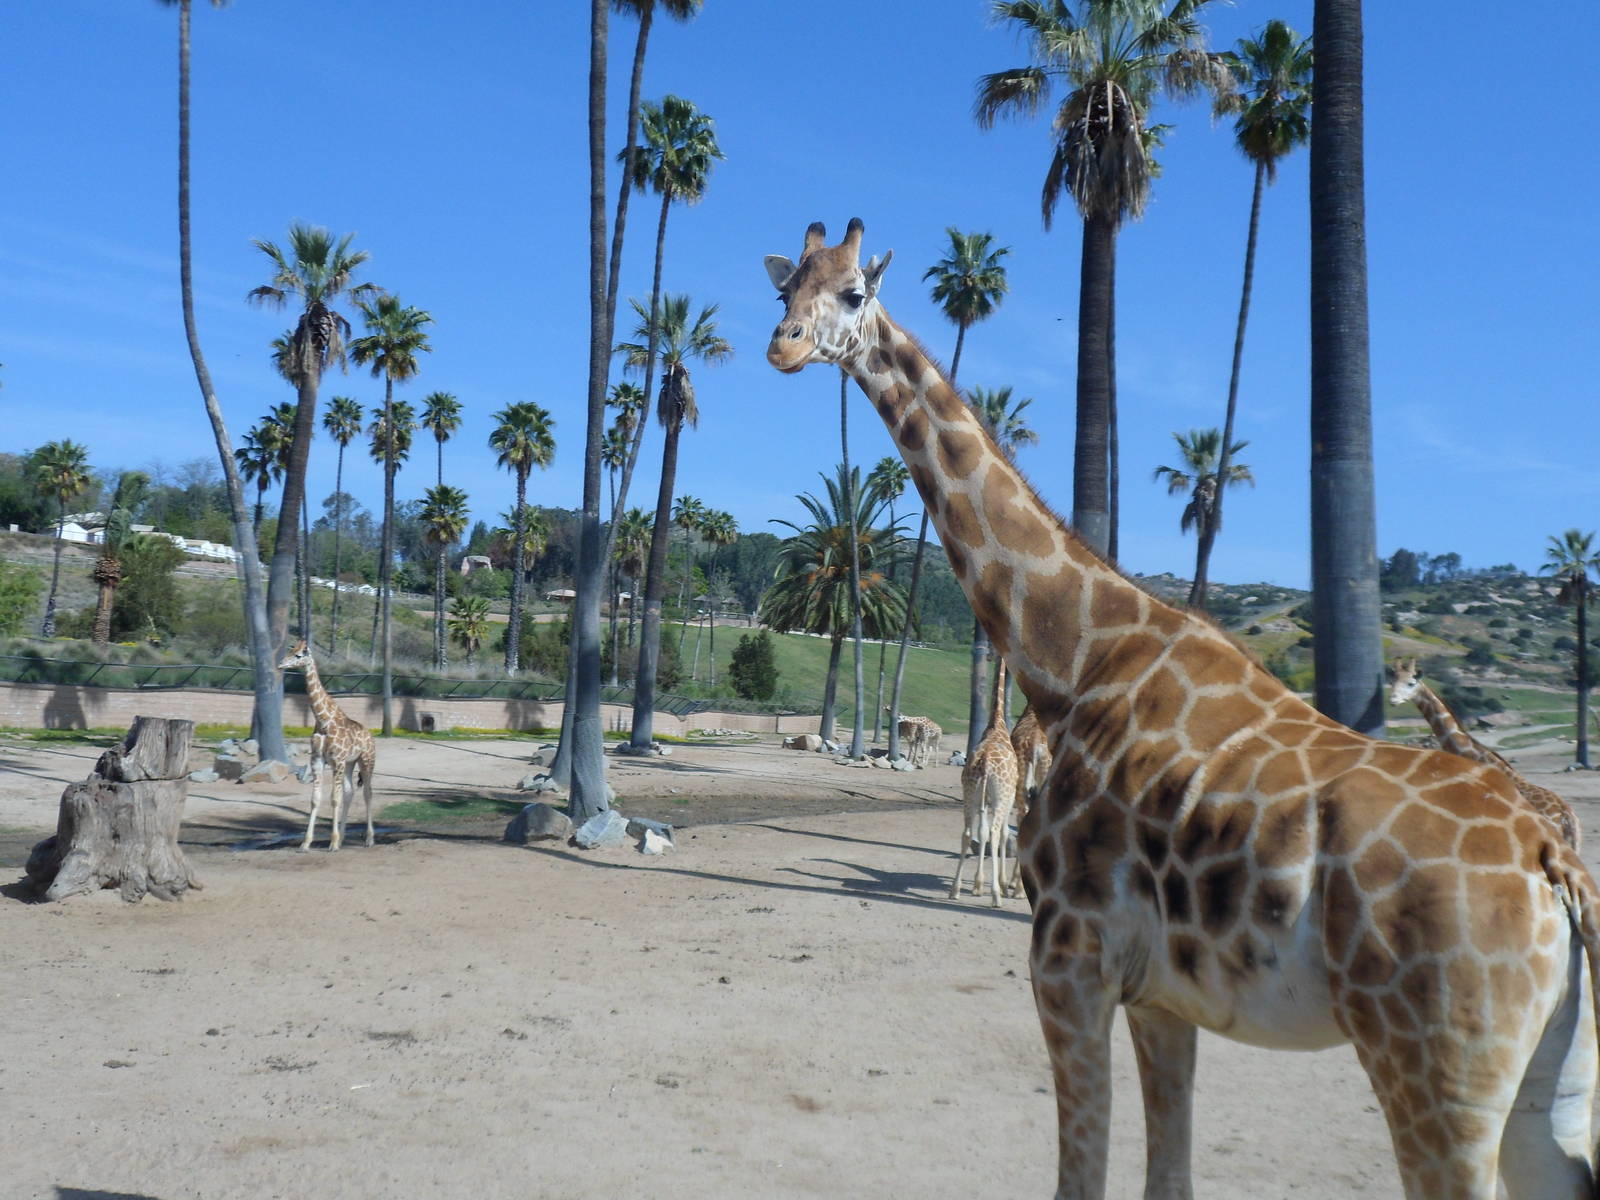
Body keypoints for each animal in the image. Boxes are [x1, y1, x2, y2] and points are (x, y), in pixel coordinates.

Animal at [277, 639, 377, 852]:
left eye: (299, 655)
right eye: (290, 650)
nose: (281, 665)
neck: (323, 720)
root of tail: (370, 736)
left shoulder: (337, 760)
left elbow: (334, 798)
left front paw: (332, 843)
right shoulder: (318, 760)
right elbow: (315, 799)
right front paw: (306, 843)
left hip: (366, 761)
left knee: (367, 792)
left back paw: (369, 839)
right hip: (350, 764)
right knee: (350, 791)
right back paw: (343, 838)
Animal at [950, 659, 1020, 907]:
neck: (996, 723)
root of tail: (985, 762)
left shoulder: (984, 800)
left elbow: (981, 833)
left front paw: (978, 884)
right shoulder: (1008, 798)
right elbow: (1004, 833)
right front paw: (999, 884)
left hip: (969, 792)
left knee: (967, 832)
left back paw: (955, 890)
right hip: (1000, 796)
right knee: (995, 831)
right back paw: (996, 896)